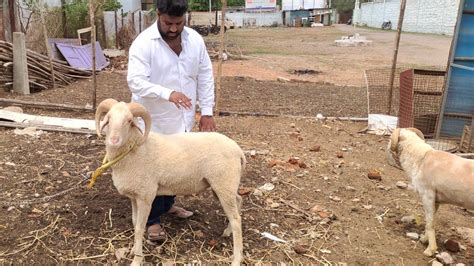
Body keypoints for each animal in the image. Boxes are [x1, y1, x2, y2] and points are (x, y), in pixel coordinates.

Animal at [95, 98, 246, 264]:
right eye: (108, 119)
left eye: (129, 121)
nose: (114, 140)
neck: (135, 149)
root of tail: (238, 150)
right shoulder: (134, 197)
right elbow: (134, 223)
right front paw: (134, 250)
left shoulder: (145, 196)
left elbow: (140, 228)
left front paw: (137, 259)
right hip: (222, 186)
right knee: (238, 201)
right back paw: (227, 231)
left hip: (223, 184)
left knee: (236, 219)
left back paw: (236, 259)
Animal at [386, 128, 472, 256]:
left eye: (390, 137)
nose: (387, 147)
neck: (421, 159)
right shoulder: (436, 200)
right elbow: (429, 221)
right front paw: (424, 239)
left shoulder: (428, 195)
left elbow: (429, 224)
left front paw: (430, 250)